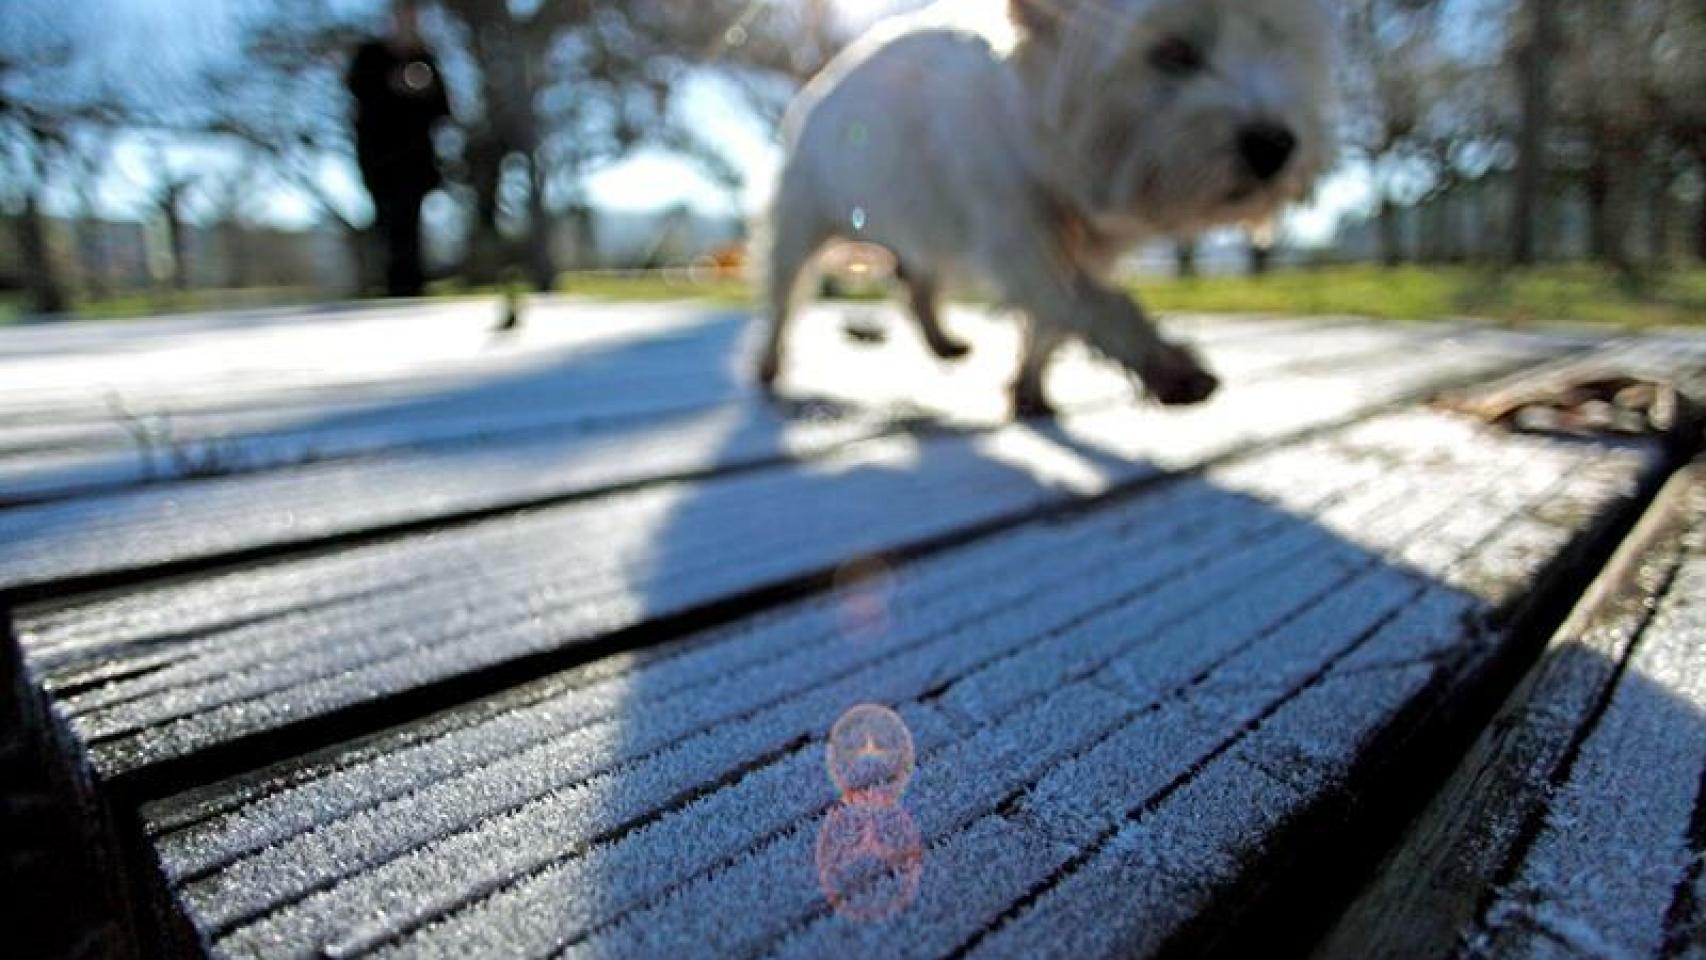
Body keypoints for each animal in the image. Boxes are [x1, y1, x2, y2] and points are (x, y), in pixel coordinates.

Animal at [760, 0, 1330, 417]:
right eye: (1172, 52)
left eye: (1282, 46)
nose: (1276, 145)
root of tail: (816, 89)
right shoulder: (1019, 238)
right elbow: (1097, 304)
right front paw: (1169, 367)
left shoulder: (1082, 244)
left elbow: (1053, 325)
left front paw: (1029, 388)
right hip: (804, 216)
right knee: (785, 293)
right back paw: (767, 364)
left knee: (918, 280)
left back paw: (944, 341)